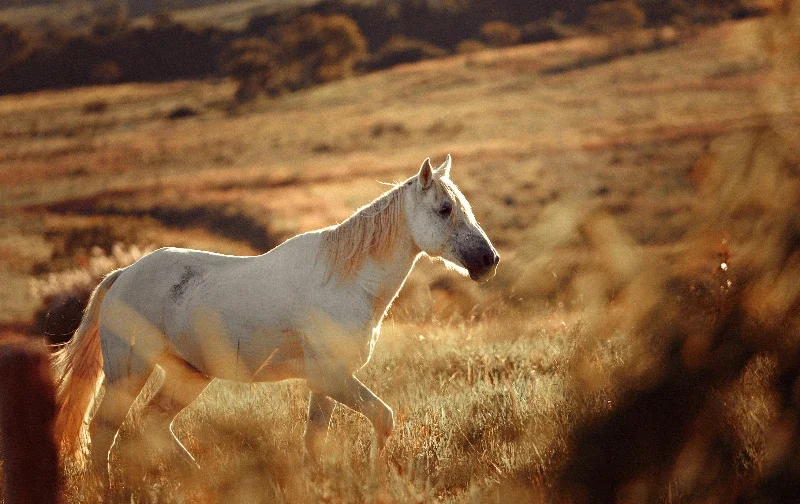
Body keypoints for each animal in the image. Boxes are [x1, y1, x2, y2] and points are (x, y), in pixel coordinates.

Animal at [52, 155, 499, 480]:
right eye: (444, 209)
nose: (488, 261)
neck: (344, 282)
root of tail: (123, 275)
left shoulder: (325, 384)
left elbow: (315, 442)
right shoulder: (331, 377)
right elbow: (383, 418)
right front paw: (376, 478)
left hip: (188, 376)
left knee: (152, 425)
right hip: (129, 371)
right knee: (104, 432)